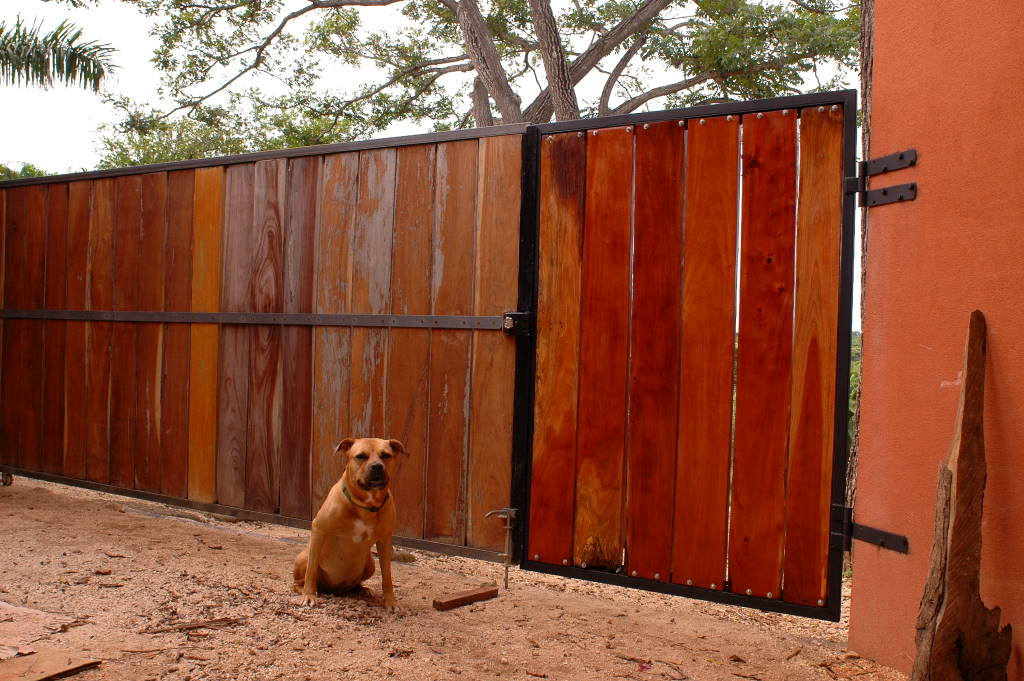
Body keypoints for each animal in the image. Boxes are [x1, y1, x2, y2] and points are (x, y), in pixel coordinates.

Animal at [292, 438, 403, 606]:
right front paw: (309, 595)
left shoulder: (385, 541)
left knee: (357, 583)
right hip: (304, 557)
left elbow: (387, 576)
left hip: (370, 563)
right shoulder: (319, 529)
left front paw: (390, 602)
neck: (366, 505)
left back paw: (362, 589)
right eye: (361, 456)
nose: (377, 466)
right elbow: (311, 571)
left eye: (386, 455)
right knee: (300, 580)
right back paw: (306, 590)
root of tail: (337, 590)